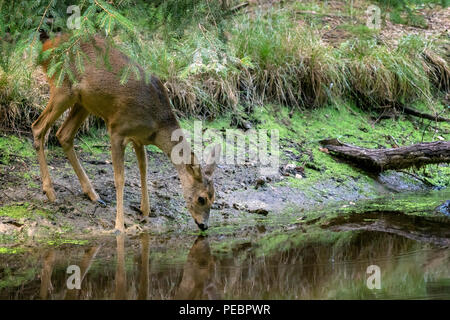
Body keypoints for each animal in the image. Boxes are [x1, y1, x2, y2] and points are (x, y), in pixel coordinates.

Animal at [33, 33, 220, 232]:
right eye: (201, 198)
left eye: (214, 198)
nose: (204, 225)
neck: (156, 123)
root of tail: (45, 48)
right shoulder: (117, 129)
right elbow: (119, 178)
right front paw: (119, 225)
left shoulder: (138, 138)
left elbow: (143, 170)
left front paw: (145, 211)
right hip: (62, 88)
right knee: (38, 127)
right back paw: (50, 191)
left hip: (83, 102)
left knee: (64, 134)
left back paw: (93, 195)